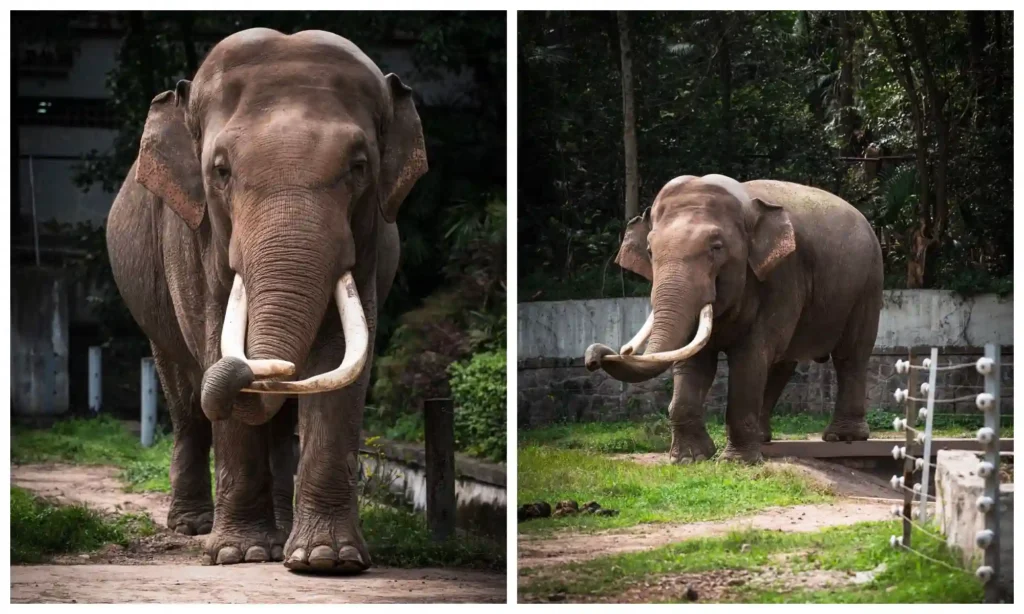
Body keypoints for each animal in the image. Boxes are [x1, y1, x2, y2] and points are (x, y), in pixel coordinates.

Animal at [105, 28, 427, 572]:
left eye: (359, 167)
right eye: (220, 171)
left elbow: (340, 356)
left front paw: (325, 560)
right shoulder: (193, 240)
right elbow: (216, 341)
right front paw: (240, 554)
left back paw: (281, 533)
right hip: (152, 308)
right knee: (184, 398)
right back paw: (193, 526)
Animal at [585, 174, 882, 464]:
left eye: (716, 247)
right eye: (649, 250)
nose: (594, 356)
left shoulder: (781, 276)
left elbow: (750, 357)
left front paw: (736, 462)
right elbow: (695, 360)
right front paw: (690, 459)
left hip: (867, 285)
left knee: (850, 357)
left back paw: (842, 437)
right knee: (781, 363)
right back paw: (762, 438)